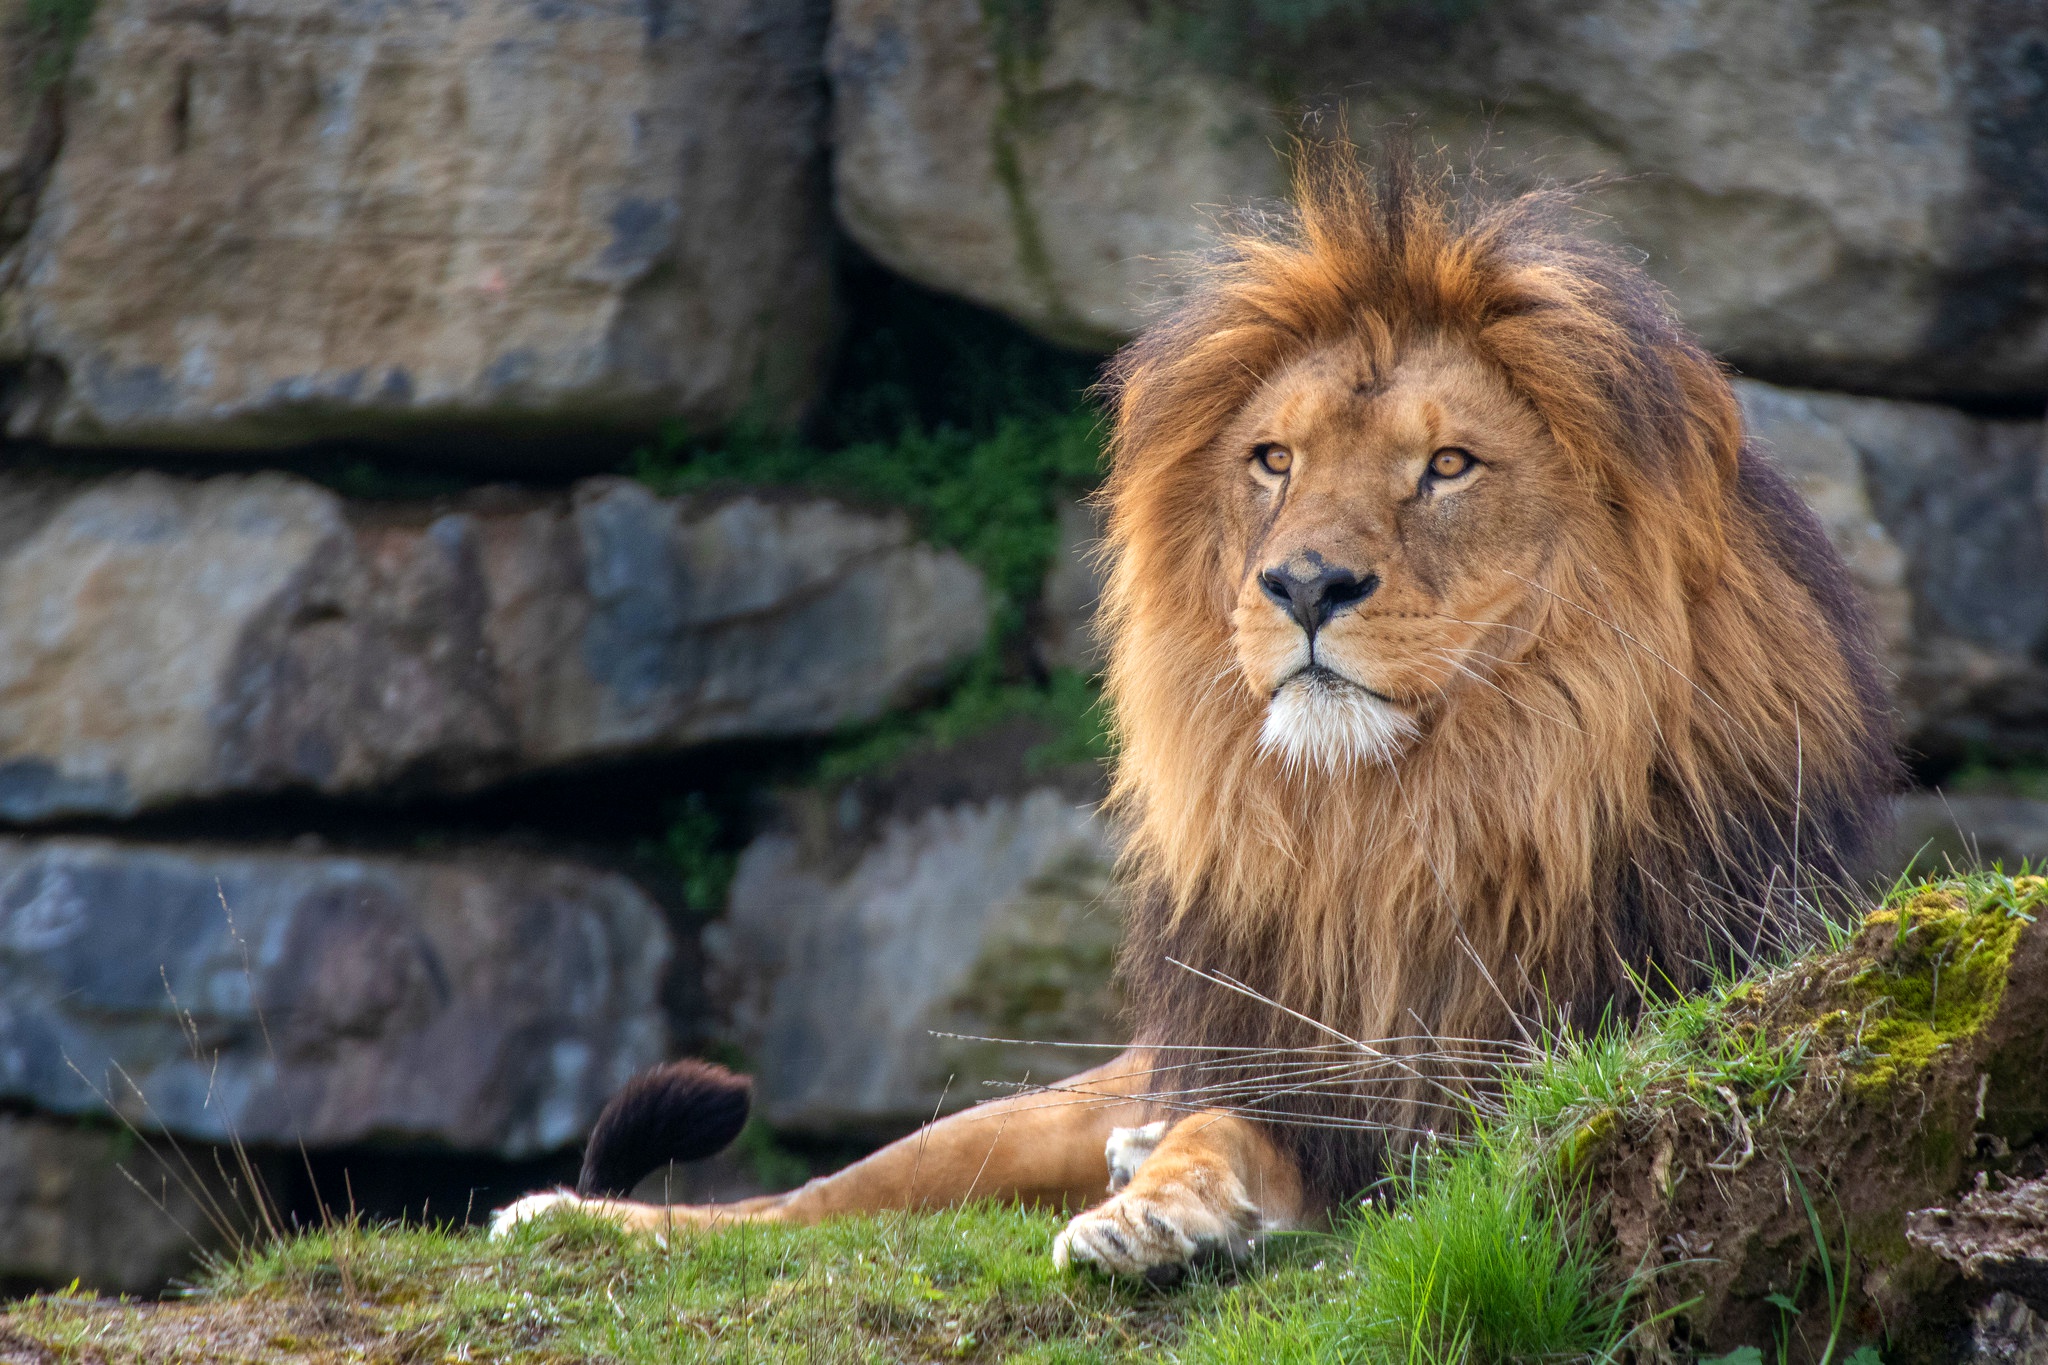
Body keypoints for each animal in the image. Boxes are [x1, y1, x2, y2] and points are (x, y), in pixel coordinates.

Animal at [487, 141, 1892, 1285]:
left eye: (1447, 466)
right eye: (1273, 459)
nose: (1304, 584)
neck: (1399, 825)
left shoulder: (1491, 1087)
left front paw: (1158, 1210)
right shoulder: (1290, 1070)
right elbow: (1221, 1123)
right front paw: (1154, 1202)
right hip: (1034, 1106)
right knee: (801, 1207)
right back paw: (566, 1219)